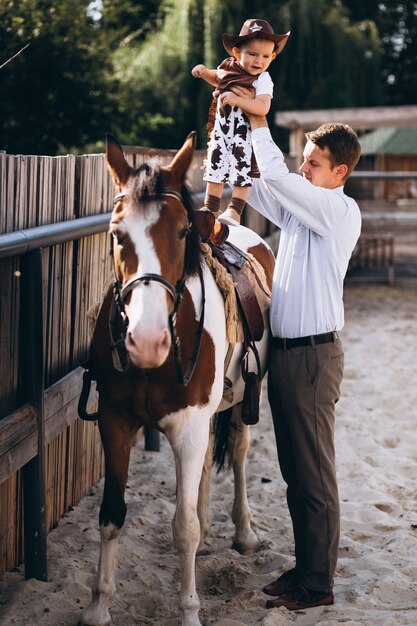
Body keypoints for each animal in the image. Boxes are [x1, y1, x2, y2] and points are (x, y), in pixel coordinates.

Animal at [79, 132, 274, 624]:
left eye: (184, 232)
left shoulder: (187, 428)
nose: (147, 340)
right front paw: (98, 606)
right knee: (205, 466)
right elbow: (111, 514)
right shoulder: (115, 422)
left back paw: (243, 533)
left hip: (245, 397)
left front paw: (188, 611)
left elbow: (182, 527)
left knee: (238, 451)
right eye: (116, 233)